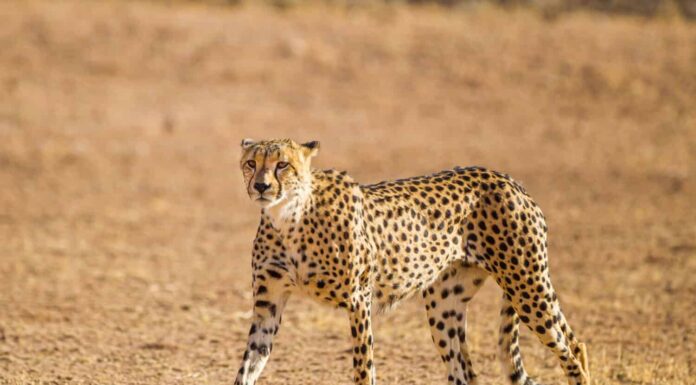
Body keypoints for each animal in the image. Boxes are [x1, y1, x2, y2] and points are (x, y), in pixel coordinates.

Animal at [234, 138, 588, 384]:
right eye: (251, 163)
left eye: (282, 165)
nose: (261, 185)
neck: (288, 217)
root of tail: (507, 179)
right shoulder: (267, 307)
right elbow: (248, 367)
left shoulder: (359, 299)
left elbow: (363, 367)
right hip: (445, 304)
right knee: (466, 373)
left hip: (527, 287)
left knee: (574, 349)